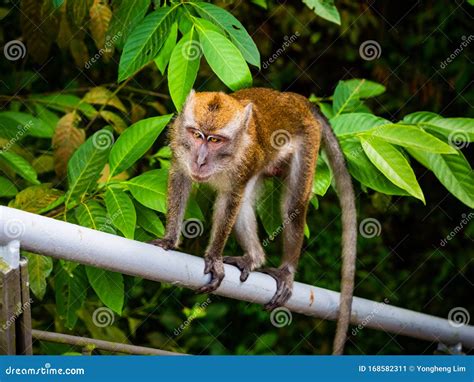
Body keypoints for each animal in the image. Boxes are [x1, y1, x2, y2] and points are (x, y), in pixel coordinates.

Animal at [151, 87, 356, 356]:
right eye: (196, 134)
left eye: (215, 140)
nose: (200, 160)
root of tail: (295, 99)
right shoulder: (179, 145)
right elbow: (180, 179)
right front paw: (169, 239)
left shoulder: (245, 160)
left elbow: (231, 199)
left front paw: (214, 258)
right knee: (246, 205)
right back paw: (254, 257)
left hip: (309, 139)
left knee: (292, 206)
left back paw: (286, 271)